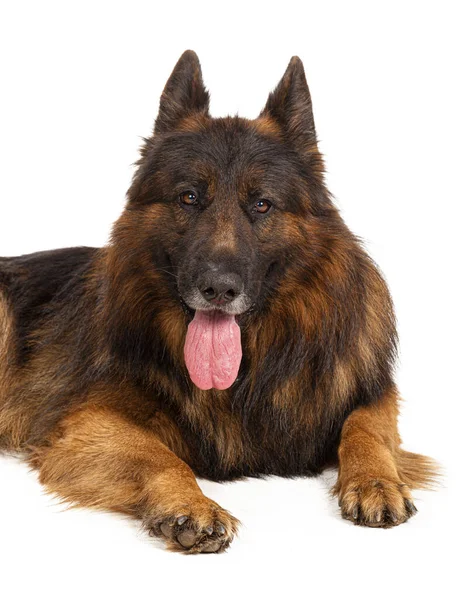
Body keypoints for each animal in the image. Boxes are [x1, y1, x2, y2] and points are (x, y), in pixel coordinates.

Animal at [0, 51, 436, 552]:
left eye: (262, 204)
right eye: (189, 197)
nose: (219, 289)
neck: (248, 372)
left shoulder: (370, 391)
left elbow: (368, 427)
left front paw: (375, 481)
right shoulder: (86, 423)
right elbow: (160, 455)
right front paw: (189, 505)